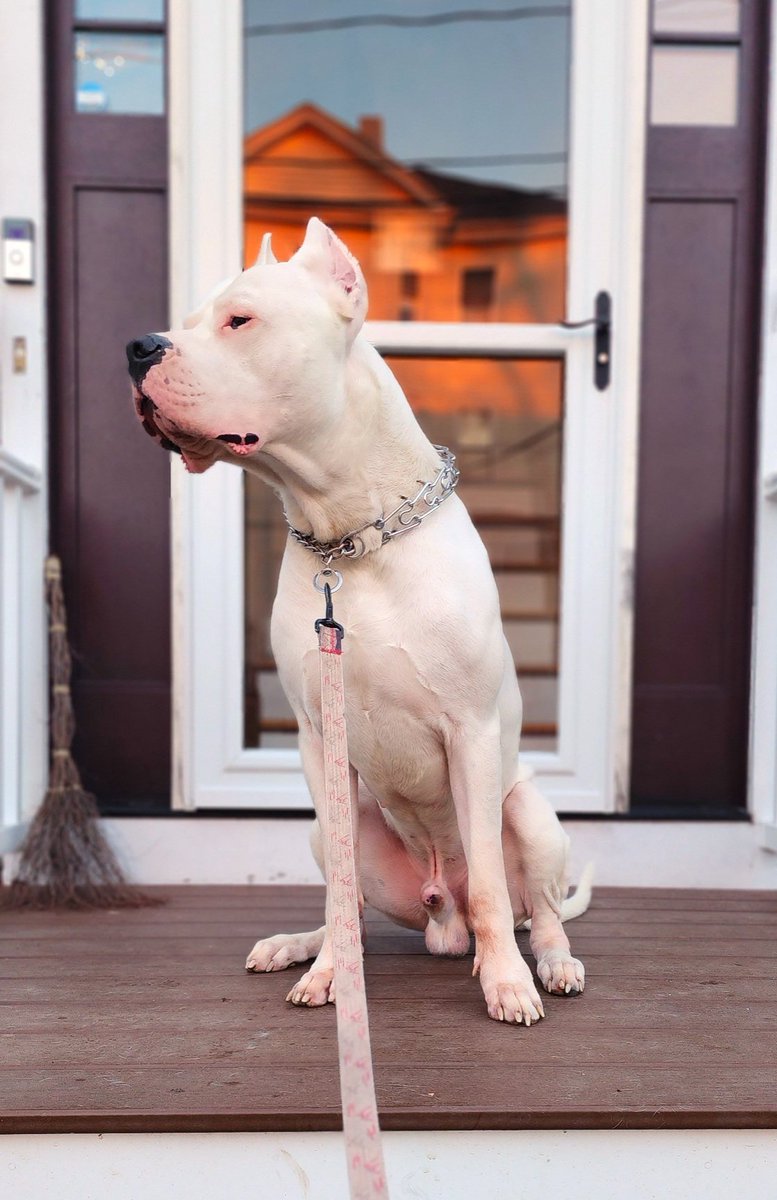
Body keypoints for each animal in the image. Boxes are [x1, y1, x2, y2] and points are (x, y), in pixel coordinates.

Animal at [127, 216, 589, 1022]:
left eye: (239, 320)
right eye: (184, 321)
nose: (138, 348)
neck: (352, 535)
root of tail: (442, 914)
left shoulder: (471, 731)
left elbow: (496, 892)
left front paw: (507, 982)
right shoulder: (318, 738)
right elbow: (341, 898)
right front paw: (328, 977)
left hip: (529, 813)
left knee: (537, 907)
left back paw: (548, 963)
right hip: (327, 829)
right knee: (352, 907)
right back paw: (298, 947)